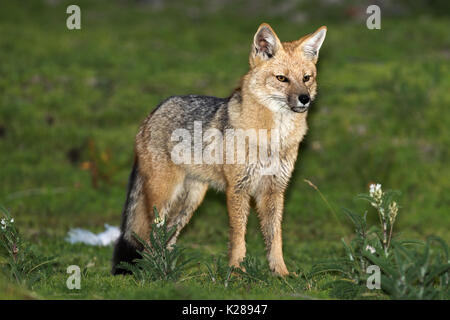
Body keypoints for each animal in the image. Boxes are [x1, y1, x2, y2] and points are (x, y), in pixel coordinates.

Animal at [110, 23, 326, 276]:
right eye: (282, 78)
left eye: (306, 78)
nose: (305, 99)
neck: (273, 139)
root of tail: (154, 110)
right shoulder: (237, 189)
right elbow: (238, 237)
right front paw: (237, 272)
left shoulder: (274, 190)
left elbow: (275, 239)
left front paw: (281, 273)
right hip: (163, 199)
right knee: (151, 238)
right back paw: (157, 273)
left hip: (189, 203)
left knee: (167, 239)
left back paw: (170, 272)